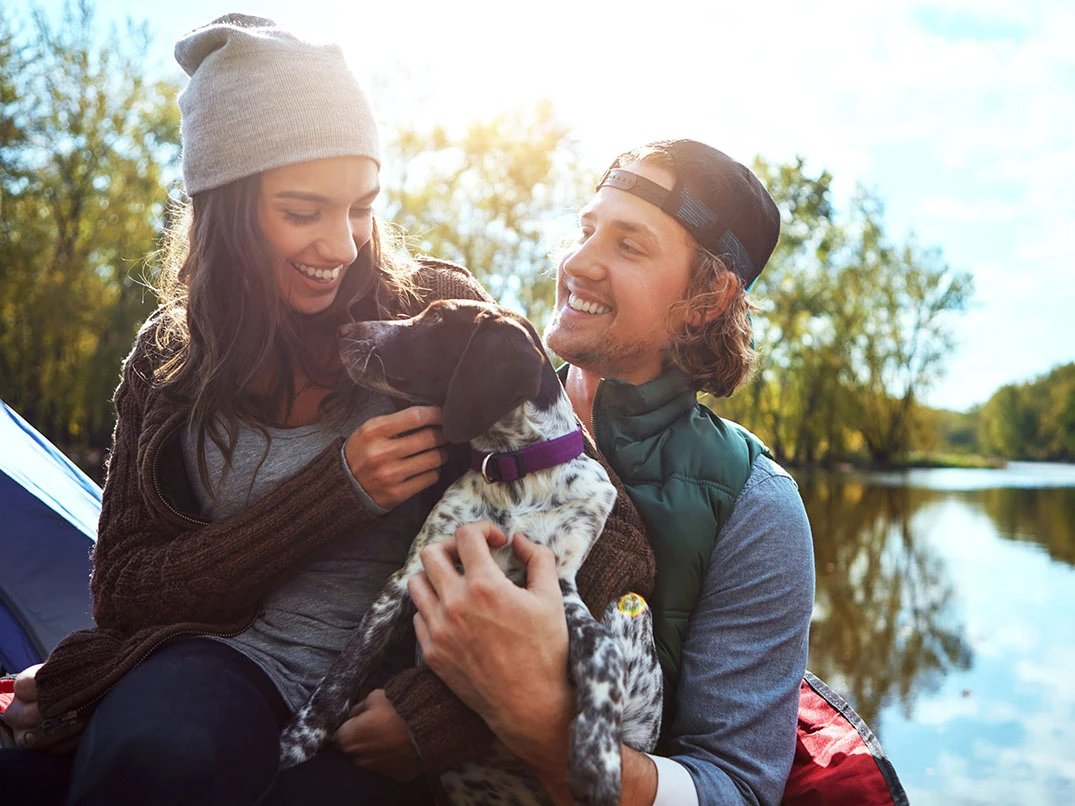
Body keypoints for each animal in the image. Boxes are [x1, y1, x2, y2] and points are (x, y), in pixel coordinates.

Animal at [279, 300, 662, 803]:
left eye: (436, 320)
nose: (344, 330)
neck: (516, 470)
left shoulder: (559, 590)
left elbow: (604, 654)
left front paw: (597, 758)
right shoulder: (409, 576)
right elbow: (345, 668)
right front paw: (297, 742)